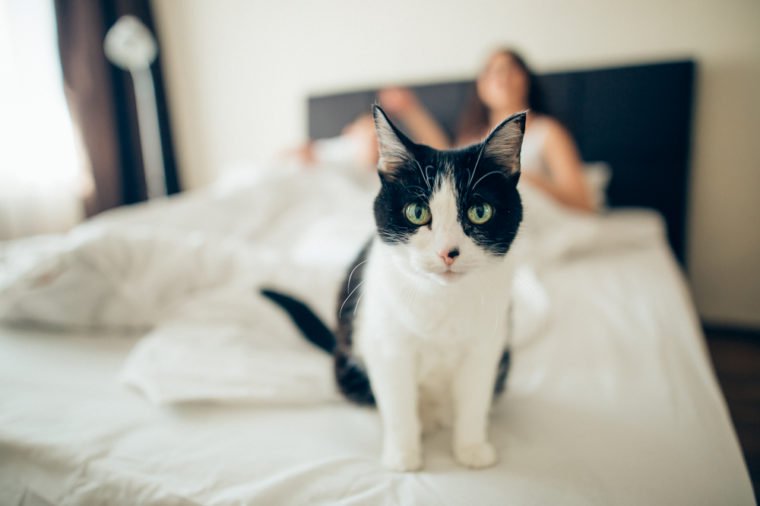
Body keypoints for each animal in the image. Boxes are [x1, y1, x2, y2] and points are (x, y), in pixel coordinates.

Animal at [262, 105, 524, 472]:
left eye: (480, 211)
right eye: (417, 212)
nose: (448, 252)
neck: (441, 300)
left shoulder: (485, 347)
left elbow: (474, 399)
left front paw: (471, 448)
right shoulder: (388, 346)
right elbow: (398, 404)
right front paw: (403, 456)